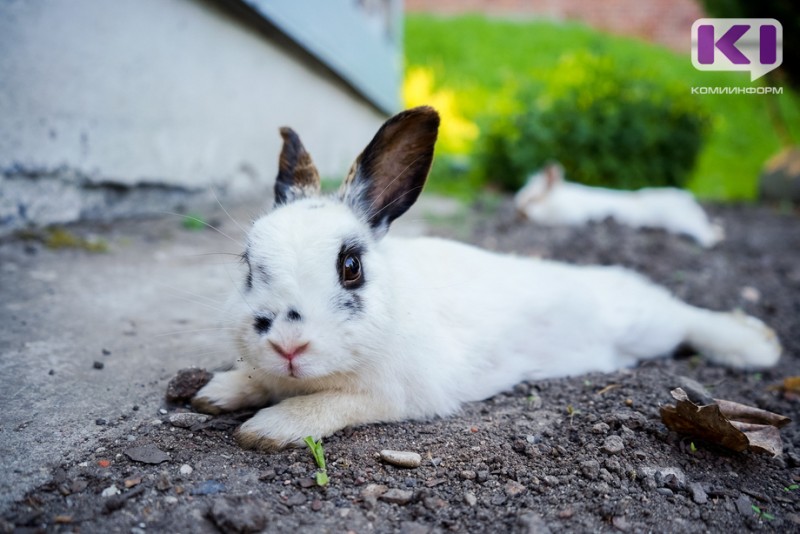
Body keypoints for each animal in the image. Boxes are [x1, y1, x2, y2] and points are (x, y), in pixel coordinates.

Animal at [512, 163, 724, 249]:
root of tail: (686, 199)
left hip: (680, 221)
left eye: (532, 199)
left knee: (703, 232)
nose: (519, 212)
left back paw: (710, 242)